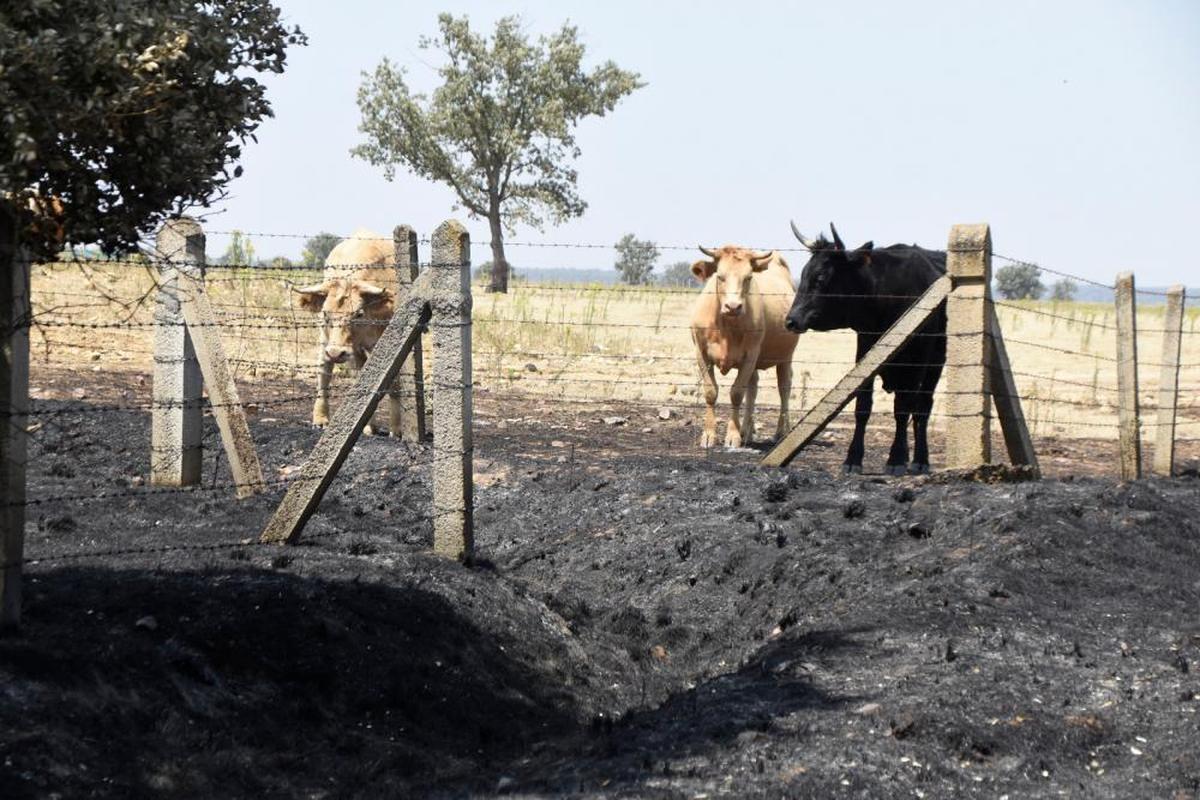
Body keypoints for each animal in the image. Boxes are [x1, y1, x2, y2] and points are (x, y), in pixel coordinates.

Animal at [295, 227, 403, 434]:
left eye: (358, 313)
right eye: (326, 313)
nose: (336, 353)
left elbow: (395, 382)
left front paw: (397, 428)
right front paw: (368, 426)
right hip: (326, 342)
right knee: (324, 373)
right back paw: (321, 418)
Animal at [696, 244, 796, 450]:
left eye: (748, 277)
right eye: (720, 276)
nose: (733, 306)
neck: (725, 327)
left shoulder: (750, 355)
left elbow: (736, 393)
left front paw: (733, 436)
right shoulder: (701, 353)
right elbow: (710, 392)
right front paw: (709, 435)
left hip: (785, 356)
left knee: (784, 387)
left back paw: (781, 432)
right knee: (754, 387)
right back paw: (747, 432)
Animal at [787, 221, 945, 474]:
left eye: (820, 278)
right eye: (802, 275)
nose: (791, 320)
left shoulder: (916, 362)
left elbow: (903, 409)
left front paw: (896, 459)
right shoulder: (865, 351)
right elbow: (863, 406)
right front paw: (853, 459)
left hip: (936, 361)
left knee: (922, 407)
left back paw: (920, 460)